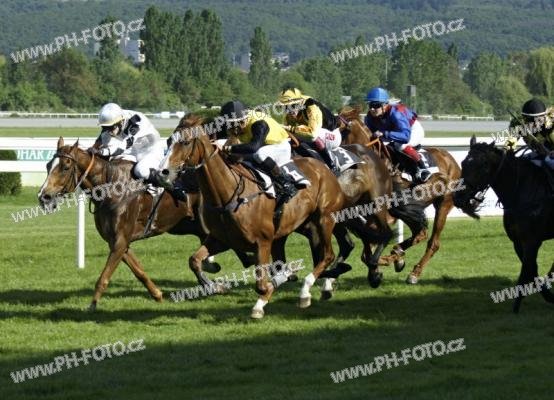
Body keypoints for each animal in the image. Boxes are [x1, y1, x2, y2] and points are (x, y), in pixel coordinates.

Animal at [38, 138, 254, 311]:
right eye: (48, 165)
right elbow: (139, 271)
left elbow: (104, 277)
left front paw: (92, 306)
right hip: (192, 226)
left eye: (65, 167)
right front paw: (157, 295)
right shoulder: (119, 242)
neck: (111, 187)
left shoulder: (120, 241)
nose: (43, 197)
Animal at [338, 105, 462, 284]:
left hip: (443, 204)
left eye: (340, 128)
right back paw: (399, 254)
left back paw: (413, 273)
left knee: (432, 242)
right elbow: (367, 251)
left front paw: (384, 264)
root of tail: (451, 159)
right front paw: (387, 264)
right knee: (420, 234)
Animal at [453, 136, 554, 313]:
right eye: (464, 163)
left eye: (483, 164)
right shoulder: (517, 241)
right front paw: (547, 295)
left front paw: (517, 305)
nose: (458, 197)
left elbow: (527, 269)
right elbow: (531, 268)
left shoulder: (532, 240)